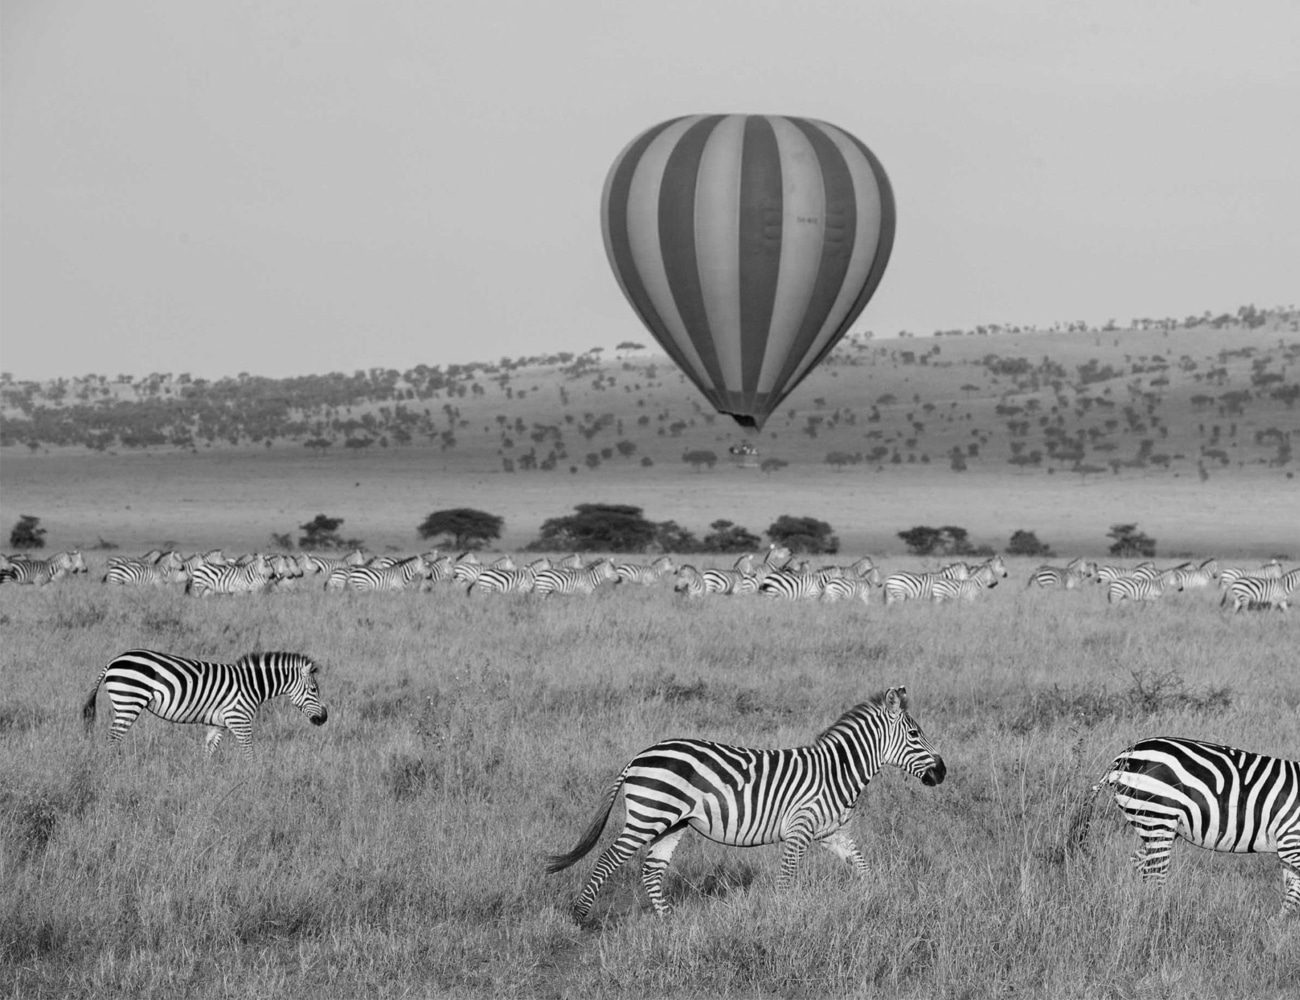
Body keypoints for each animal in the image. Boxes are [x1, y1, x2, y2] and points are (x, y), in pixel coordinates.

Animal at [83, 647, 327, 759]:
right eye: (314, 690)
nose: (324, 719)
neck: (251, 686)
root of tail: (113, 661)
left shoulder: (218, 723)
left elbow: (208, 751)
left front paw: (205, 779)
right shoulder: (239, 719)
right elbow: (249, 752)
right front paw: (254, 778)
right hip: (129, 702)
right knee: (114, 737)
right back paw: (115, 766)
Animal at [546, 686, 946, 920]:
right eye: (914, 734)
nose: (942, 772)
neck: (839, 771)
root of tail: (638, 757)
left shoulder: (833, 833)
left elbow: (865, 868)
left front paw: (878, 899)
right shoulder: (799, 829)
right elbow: (786, 879)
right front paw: (784, 918)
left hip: (673, 822)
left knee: (652, 868)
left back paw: (668, 923)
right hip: (649, 815)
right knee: (609, 859)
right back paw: (580, 917)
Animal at [1097, 733, 1300, 915]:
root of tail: (1123, 756)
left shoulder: (1289, 850)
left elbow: (1291, 895)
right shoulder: (1292, 843)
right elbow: (1294, 898)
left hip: (1157, 825)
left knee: (1139, 863)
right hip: (1159, 818)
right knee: (1155, 876)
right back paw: (1157, 917)